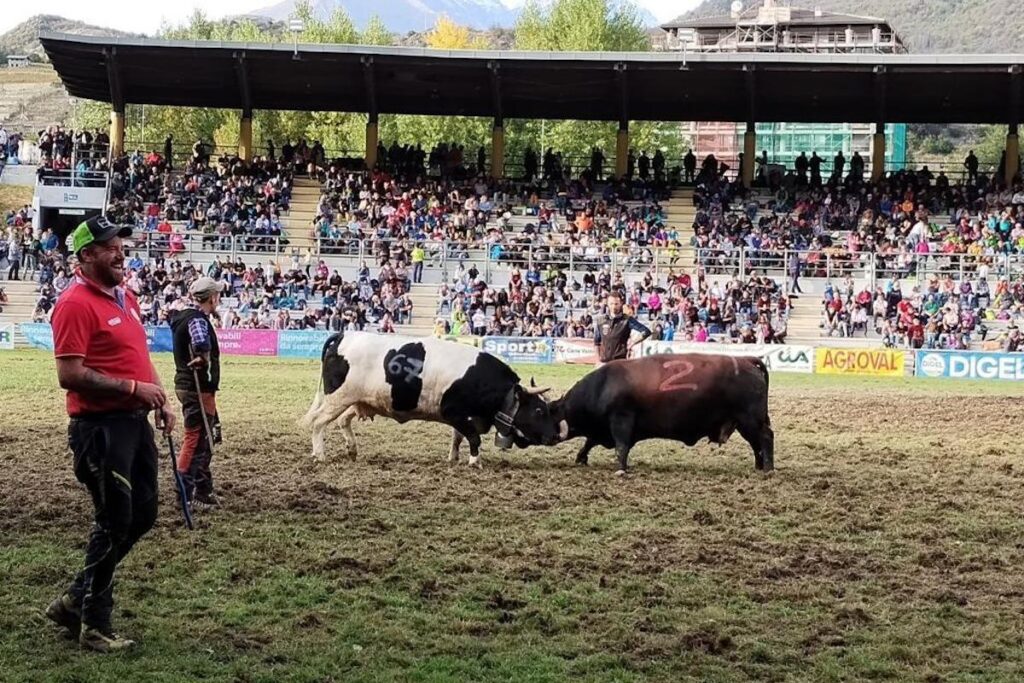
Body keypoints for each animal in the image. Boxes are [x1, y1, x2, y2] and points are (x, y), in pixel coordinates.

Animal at [299, 331, 561, 464]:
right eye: (539, 411)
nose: (555, 436)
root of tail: (344, 336)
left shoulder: (461, 417)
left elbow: (458, 437)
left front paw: (453, 458)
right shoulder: (452, 411)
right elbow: (473, 438)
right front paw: (474, 461)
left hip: (359, 399)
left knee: (343, 421)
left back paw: (351, 450)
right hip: (338, 397)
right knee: (319, 422)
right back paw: (320, 455)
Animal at [548, 352, 770, 475]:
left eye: (549, 411)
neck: (603, 385)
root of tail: (745, 361)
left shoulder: (621, 419)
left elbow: (621, 446)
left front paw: (621, 468)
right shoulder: (603, 428)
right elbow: (589, 441)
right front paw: (580, 458)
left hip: (750, 419)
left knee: (766, 437)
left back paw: (767, 467)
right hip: (745, 423)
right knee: (756, 444)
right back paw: (759, 465)